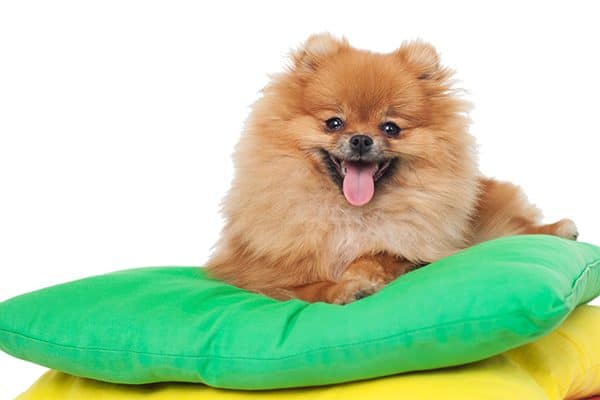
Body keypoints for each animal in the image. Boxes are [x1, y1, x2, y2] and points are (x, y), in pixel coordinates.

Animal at [205, 33, 576, 304]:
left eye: (391, 128)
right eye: (334, 123)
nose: (360, 139)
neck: (351, 215)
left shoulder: (419, 246)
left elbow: (382, 253)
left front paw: (361, 274)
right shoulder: (251, 273)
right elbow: (303, 287)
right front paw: (343, 288)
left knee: (513, 230)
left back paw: (560, 229)